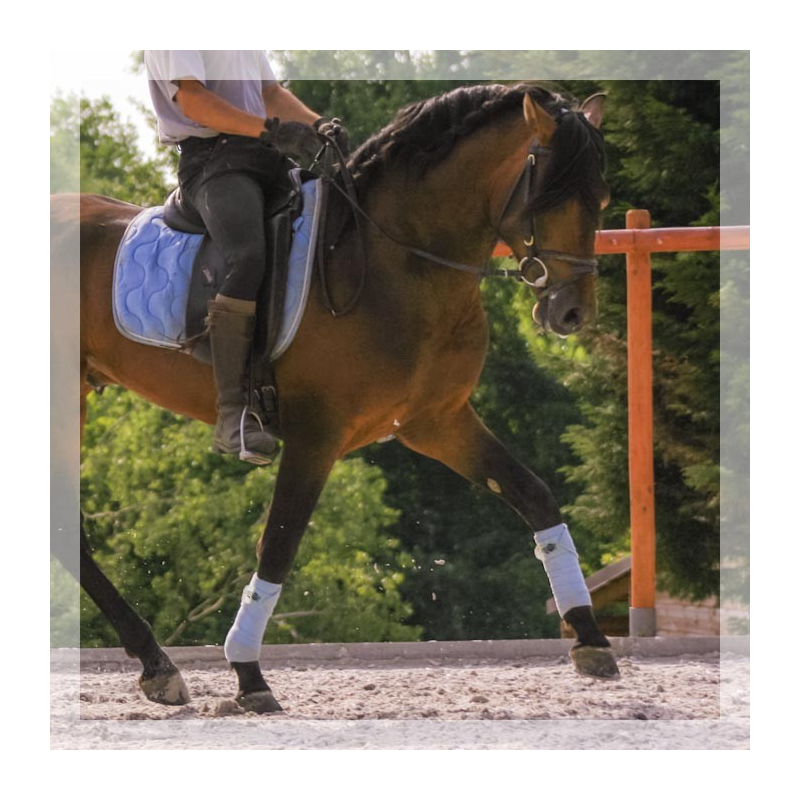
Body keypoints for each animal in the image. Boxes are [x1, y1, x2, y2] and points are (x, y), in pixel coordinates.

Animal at [54, 83, 616, 714]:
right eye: (549, 195)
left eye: (600, 197)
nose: (572, 314)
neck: (401, 264)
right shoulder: (316, 436)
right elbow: (278, 543)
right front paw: (248, 674)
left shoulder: (437, 422)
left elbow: (534, 496)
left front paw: (591, 640)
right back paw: (160, 665)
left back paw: (157, 666)